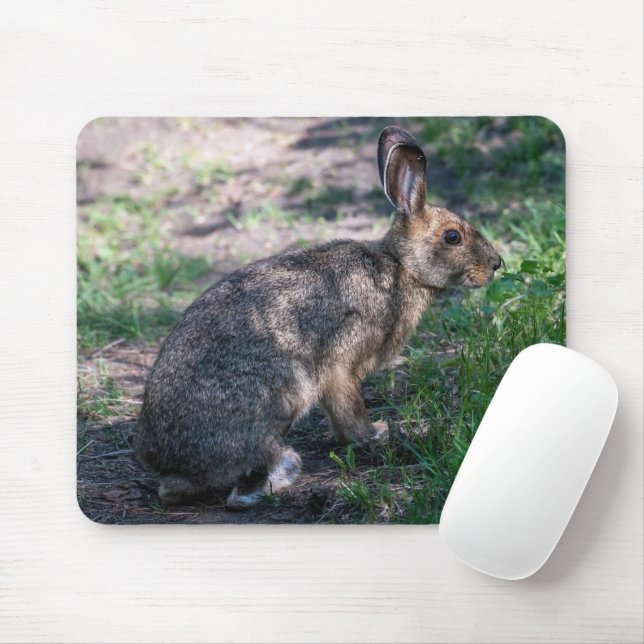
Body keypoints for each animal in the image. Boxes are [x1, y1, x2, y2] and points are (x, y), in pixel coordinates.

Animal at [132, 125, 502, 510]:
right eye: (452, 237)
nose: (496, 264)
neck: (400, 267)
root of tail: (168, 461)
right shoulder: (340, 362)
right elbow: (348, 407)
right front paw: (374, 434)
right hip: (284, 390)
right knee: (246, 478)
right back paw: (283, 473)